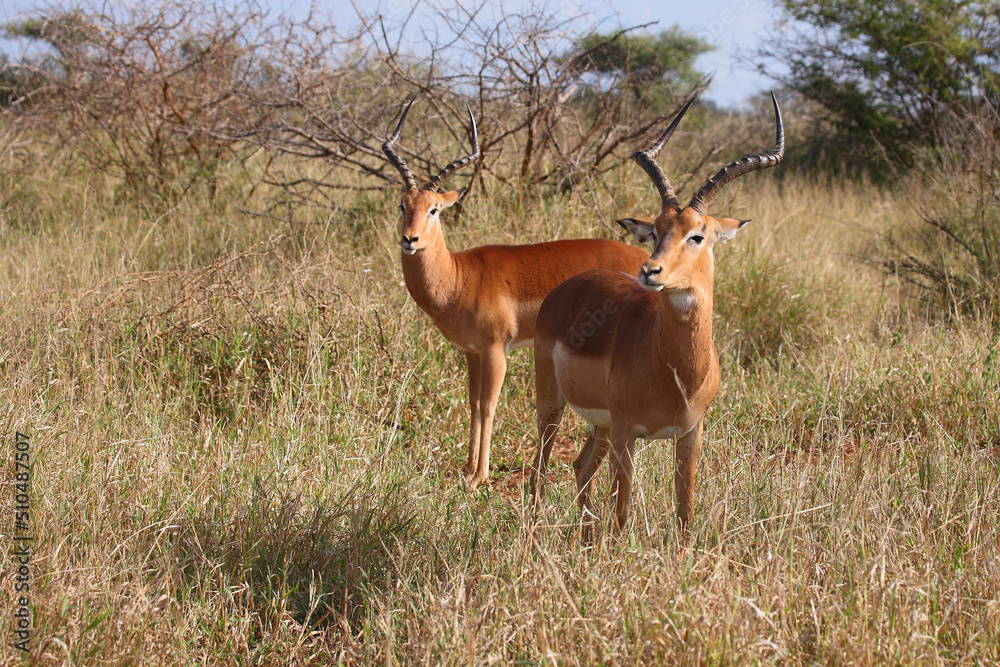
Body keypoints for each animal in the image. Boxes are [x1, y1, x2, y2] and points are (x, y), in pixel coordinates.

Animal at [382, 100, 649, 489]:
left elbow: (489, 406)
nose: (410, 239)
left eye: (434, 209)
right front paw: (467, 469)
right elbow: (473, 405)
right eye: (403, 205)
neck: (460, 276)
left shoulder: (497, 349)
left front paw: (478, 477)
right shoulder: (472, 352)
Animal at [530, 94, 785, 540]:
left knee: (580, 468)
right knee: (540, 472)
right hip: (554, 407)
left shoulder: (690, 433)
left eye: (697, 234)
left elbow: (685, 511)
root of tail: (564, 289)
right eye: (656, 229)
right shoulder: (627, 432)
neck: (673, 371)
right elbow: (622, 515)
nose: (650, 271)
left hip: (599, 427)